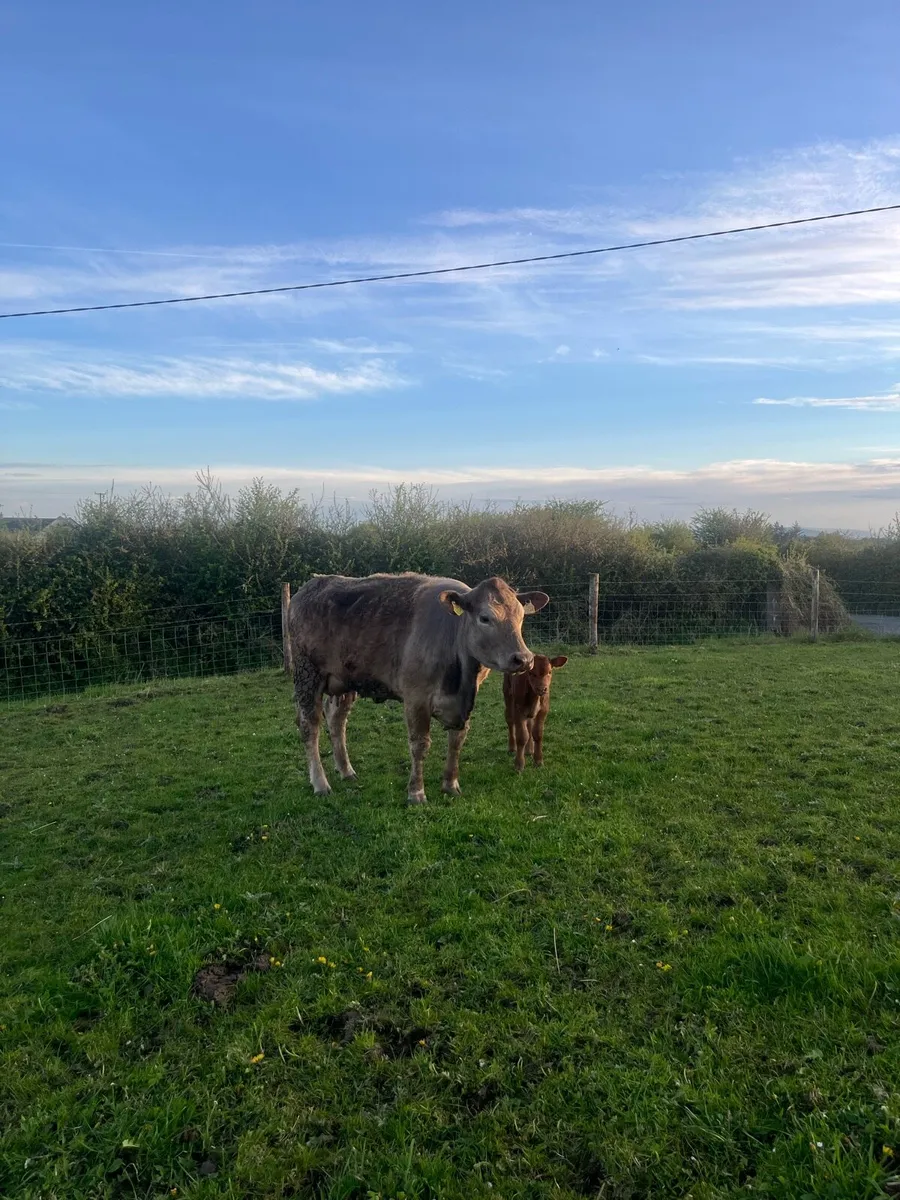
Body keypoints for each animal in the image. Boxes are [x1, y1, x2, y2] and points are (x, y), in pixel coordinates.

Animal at [288, 573, 550, 804]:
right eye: (485, 618)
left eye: (521, 616)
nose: (523, 659)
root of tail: (309, 587)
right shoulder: (416, 697)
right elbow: (419, 744)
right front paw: (416, 793)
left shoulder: (464, 702)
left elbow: (456, 741)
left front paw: (451, 785)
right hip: (307, 674)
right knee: (310, 726)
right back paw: (320, 783)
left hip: (345, 679)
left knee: (336, 720)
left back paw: (346, 771)